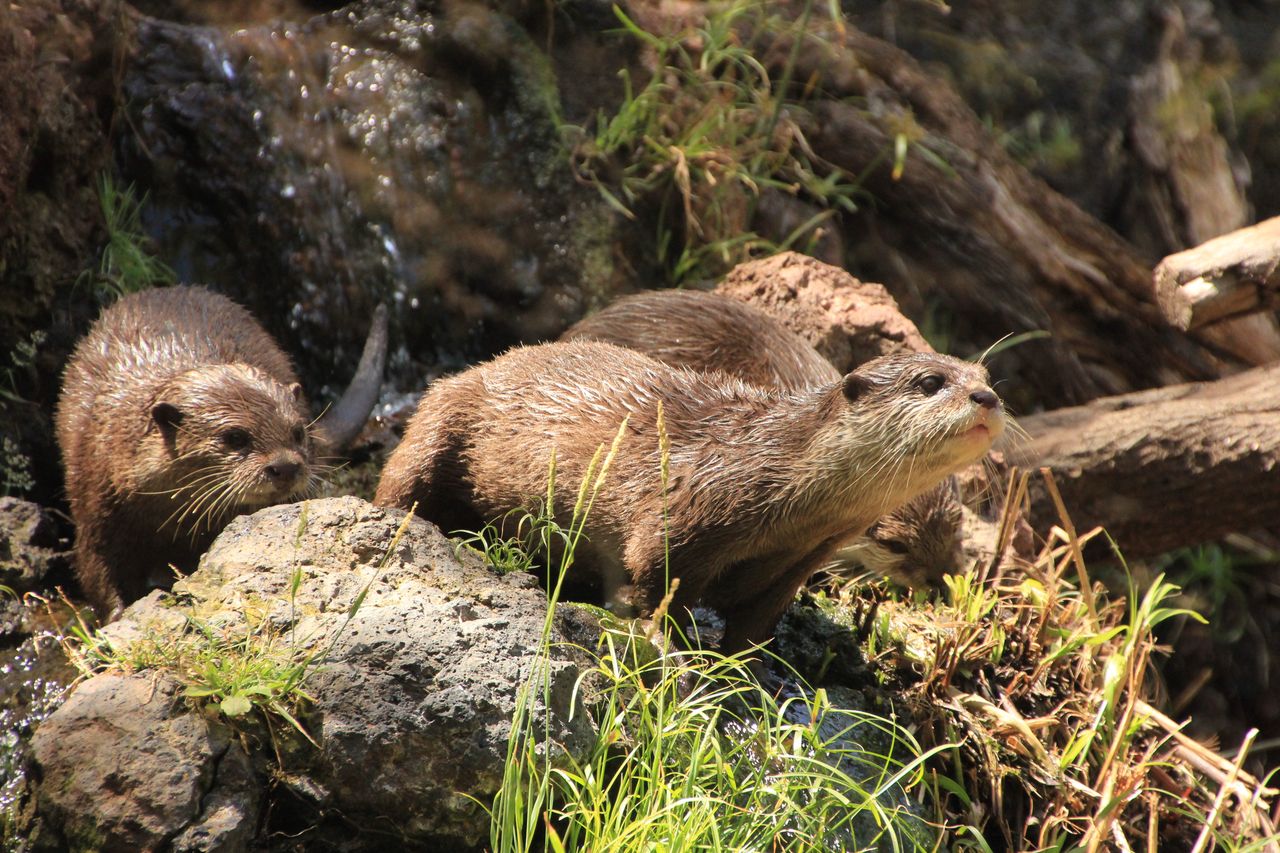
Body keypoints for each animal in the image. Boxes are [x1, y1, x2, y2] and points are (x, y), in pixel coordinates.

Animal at [56, 285, 384, 617]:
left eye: (298, 432)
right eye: (235, 437)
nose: (285, 467)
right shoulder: (95, 501)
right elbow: (98, 570)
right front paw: (119, 615)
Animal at [371, 338, 998, 650]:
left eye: (984, 374)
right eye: (931, 383)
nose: (987, 397)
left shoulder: (796, 562)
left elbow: (755, 625)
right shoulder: (687, 513)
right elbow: (656, 578)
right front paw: (665, 647)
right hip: (442, 415)